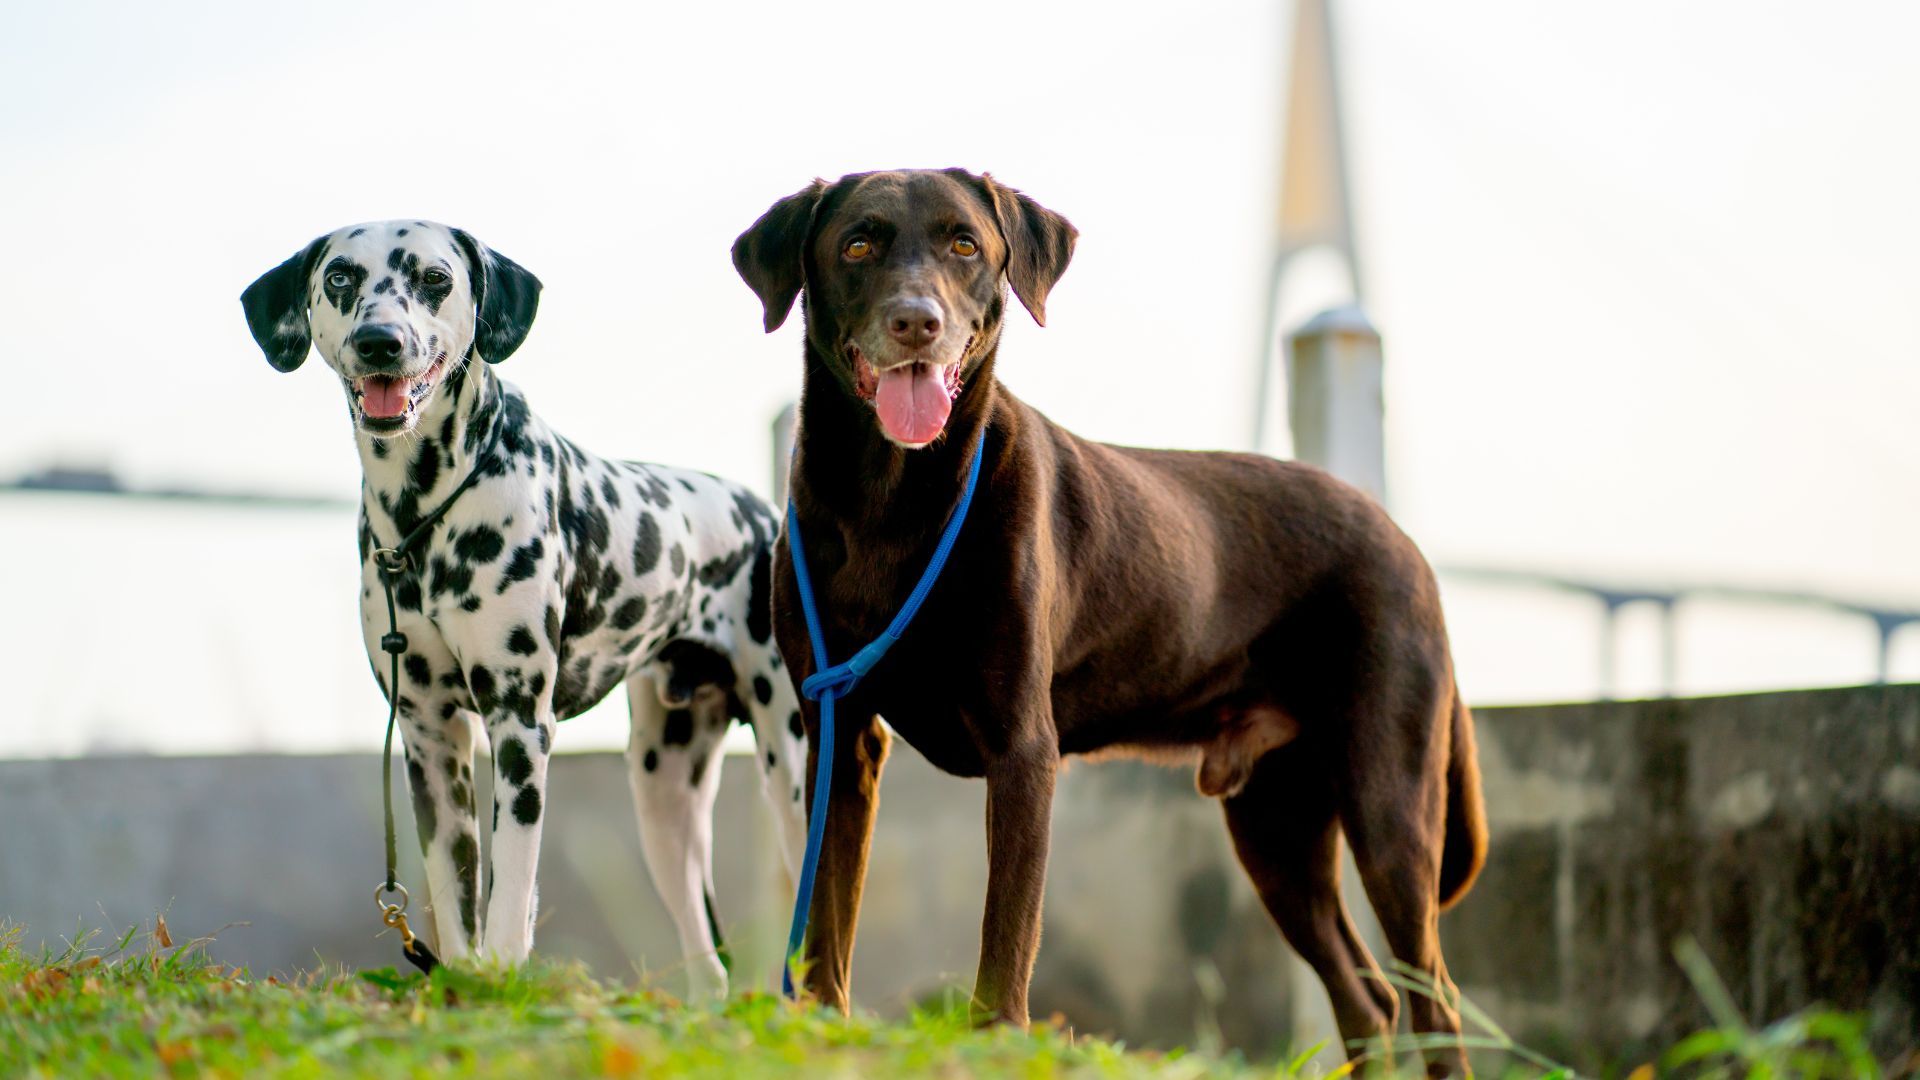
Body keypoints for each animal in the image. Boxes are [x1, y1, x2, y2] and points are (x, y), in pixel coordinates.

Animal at [240, 220, 810, 991]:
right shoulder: (430, 739)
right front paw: (463, 981)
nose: (380, 341)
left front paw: (504, 972)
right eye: (339, 279)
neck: (423, 517)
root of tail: (761, 513)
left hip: (794, 771)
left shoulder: (519, 727)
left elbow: (510, 885)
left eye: (435, 278)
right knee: (710, 959)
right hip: (664, 795)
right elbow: (455, 893)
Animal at [729, 168, 1482, 1068]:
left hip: (1389, 803)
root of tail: (1402, 538)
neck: (892, 496)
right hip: (1277, 827)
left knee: (1434, 996)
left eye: (964, 244)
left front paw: (997, 1041)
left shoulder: (1023, 746)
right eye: (857, 245)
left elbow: (1007, 930)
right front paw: (821, 1026)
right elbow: (830, 919)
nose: (918, 321)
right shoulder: (842, 732)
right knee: (1368, 998)